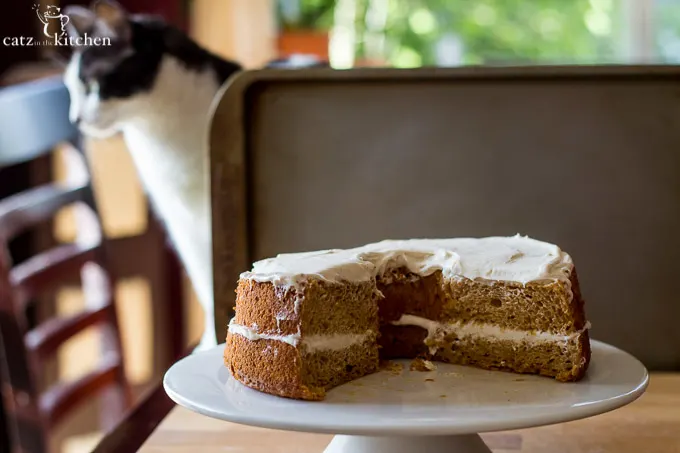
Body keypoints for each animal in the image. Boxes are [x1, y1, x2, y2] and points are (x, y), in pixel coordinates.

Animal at [61, 0, 242, 350]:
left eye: (91, 85)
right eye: (71, 90)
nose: (74, 119)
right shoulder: (181, 222)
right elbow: (205, 281)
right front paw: (210, 341)